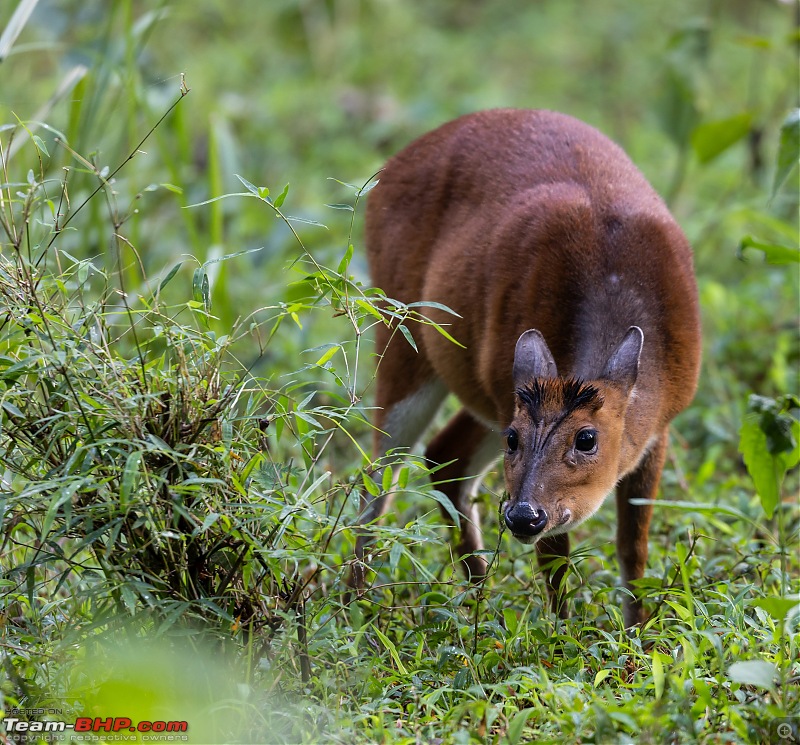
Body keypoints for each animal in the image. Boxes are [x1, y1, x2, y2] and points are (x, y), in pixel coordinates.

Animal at [352, 107, 700, 624]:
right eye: (513, 438)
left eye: (587, 438)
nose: (522, 516)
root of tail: (385, 172)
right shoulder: (506, 393)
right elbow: (555, 557)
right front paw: (564, 634)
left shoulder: (659, 426)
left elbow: (632, 546)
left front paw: (638, 633)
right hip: (401, 324)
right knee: (380, 471)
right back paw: (352, 603)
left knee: (443, 454)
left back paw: (480, 601)